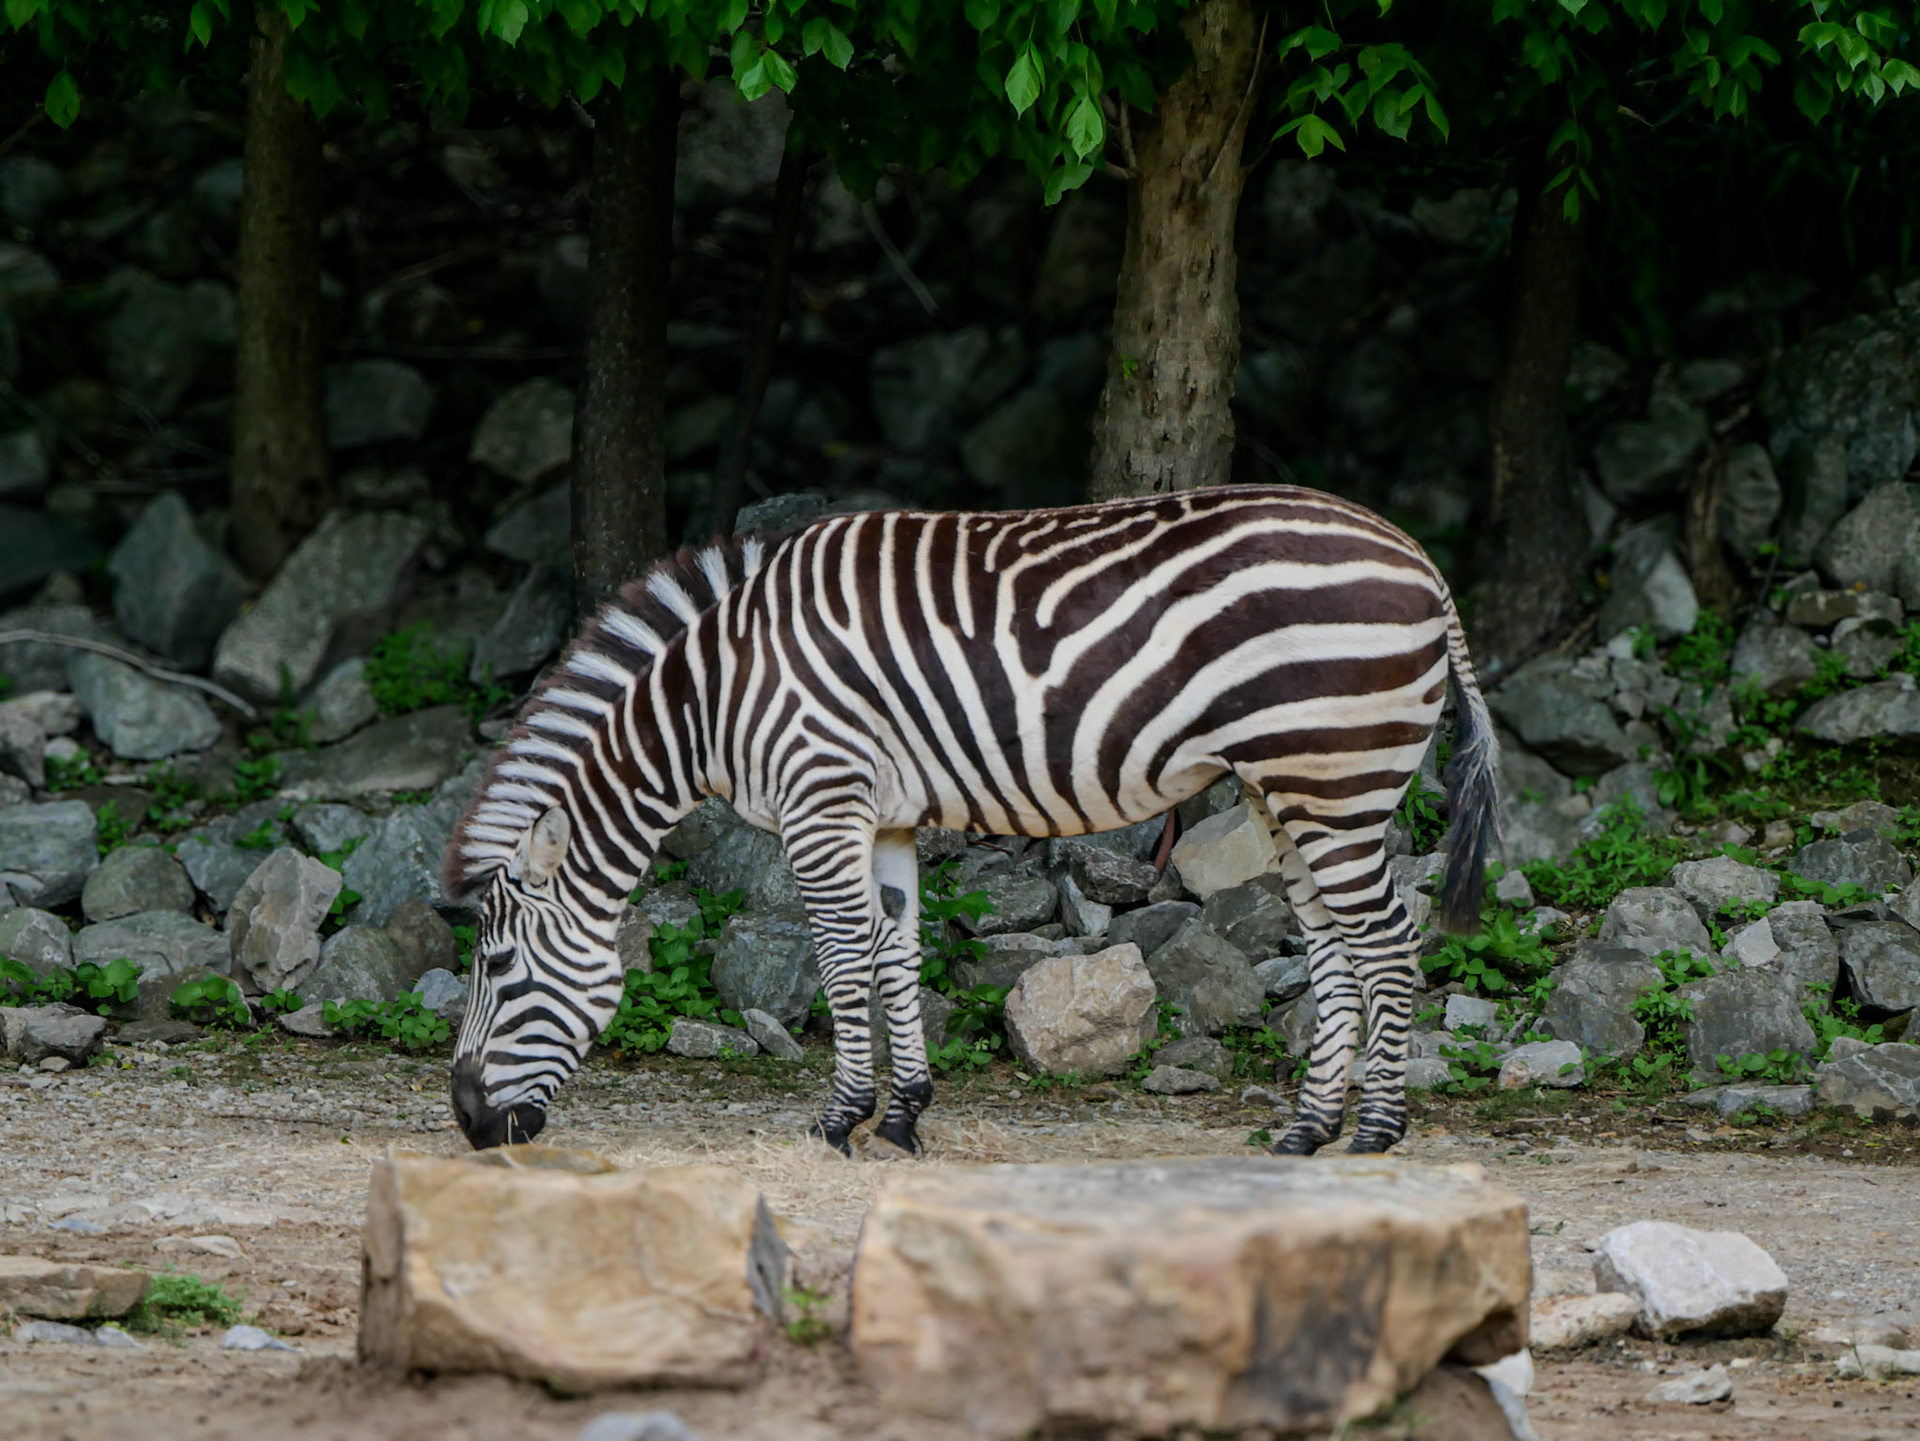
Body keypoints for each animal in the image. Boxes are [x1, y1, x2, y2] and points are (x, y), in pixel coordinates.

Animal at [443, 484, 1499, 1158]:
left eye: (499, 966)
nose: (466, 1123)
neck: (718, 693)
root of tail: (1417, 557)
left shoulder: (819, 797)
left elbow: (842, 956)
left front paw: (840, 1120)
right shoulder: (882, 816)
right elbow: (895, 950)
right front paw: (904, 1116)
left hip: (1334, 776)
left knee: (1389, 939)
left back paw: (1374, 1133)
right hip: (1288, 788)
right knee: (1333, 944)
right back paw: (1306, 1131)